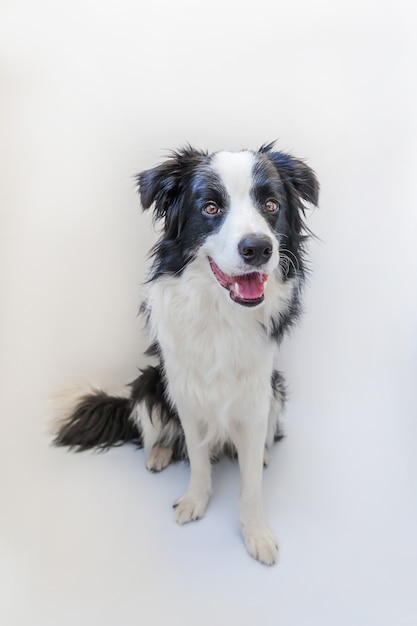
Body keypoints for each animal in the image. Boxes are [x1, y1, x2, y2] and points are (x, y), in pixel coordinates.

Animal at [52, 144, 318, 564]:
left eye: (271, 205)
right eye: (210, 207)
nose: (258, 248)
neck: (222, 313)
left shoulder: (256, 394)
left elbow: (251, 484)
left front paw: (256, 533)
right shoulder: (185, 392)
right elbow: (196, 456)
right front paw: (195, 500)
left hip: (276, 388)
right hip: (148, 384)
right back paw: (158, 454)